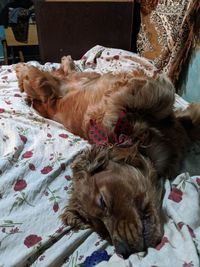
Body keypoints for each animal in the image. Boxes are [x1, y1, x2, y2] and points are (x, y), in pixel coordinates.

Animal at [15, 57, 200, 260]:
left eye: (102, 202)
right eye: (102, 230)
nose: (123, 251)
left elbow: (155, 99)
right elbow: (150, 95)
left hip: (46, 84)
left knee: (49, 73)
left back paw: (55, 64)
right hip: (41, 84)